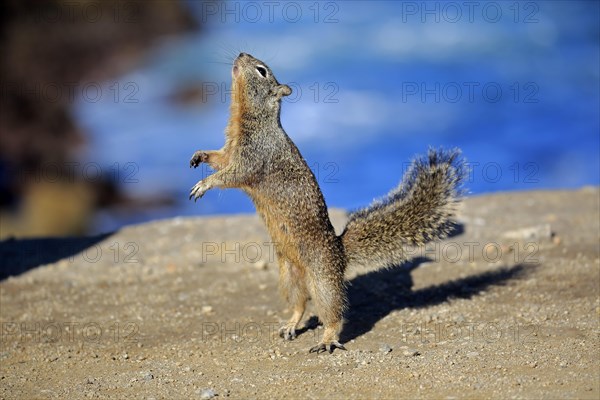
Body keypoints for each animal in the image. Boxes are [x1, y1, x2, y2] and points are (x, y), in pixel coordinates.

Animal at [188, 52, 464, 354]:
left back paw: (327, 340)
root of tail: (340, 252)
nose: (241, 54)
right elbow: (219, 159)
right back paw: (290, 325)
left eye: (262, 71)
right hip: (289, 275)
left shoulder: (254, 157)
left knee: (332, 312)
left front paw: (205, 184)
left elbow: (231, 174)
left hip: (322, 278)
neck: (249, 119)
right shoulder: (229, 151)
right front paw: (199, 156)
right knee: (300, 304)